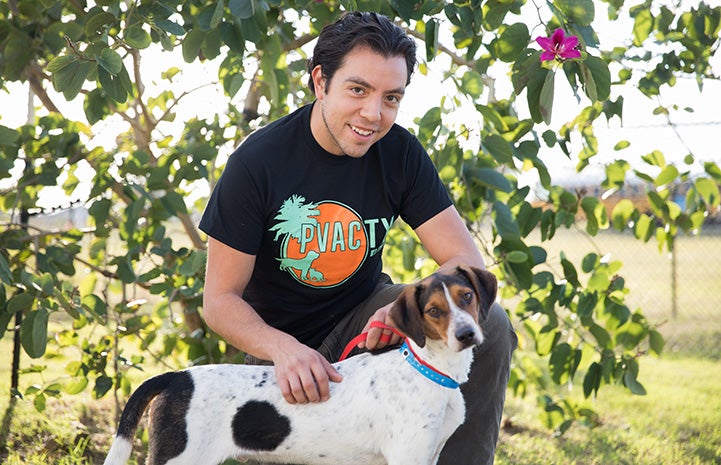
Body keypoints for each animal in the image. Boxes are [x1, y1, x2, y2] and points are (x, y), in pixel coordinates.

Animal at [102, 264, 496, 464]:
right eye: (434, 311)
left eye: (467, 296)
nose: (466, 334)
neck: (432, 370)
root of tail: (176, 377)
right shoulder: (407, 456)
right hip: (181, 459)